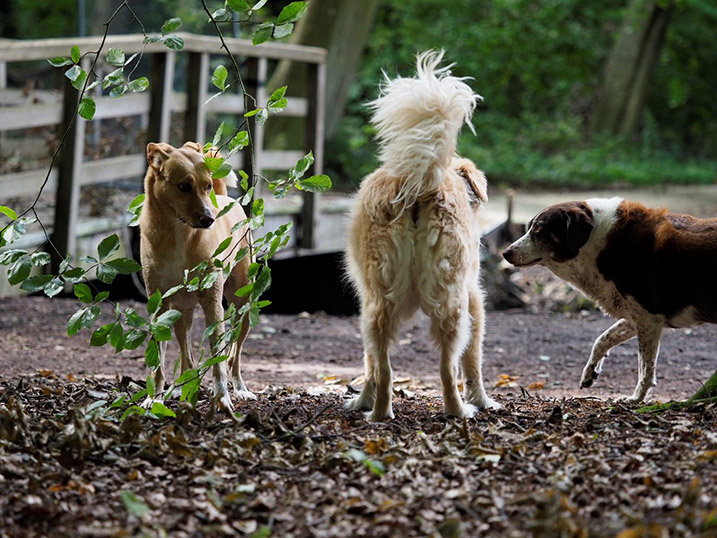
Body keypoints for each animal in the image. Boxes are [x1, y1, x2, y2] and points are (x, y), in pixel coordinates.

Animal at [139, 140, 252, 408]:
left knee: (235, 353)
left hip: (243, 304)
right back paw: (183, 388)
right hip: (182, 311)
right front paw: (153, 398)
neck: (179, 233)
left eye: (206, 185)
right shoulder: (158, 303)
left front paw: (222, 398)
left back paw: (239, 387)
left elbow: (218, 359)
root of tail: (224, 197)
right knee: (186, 352)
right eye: (184, 186)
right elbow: (159, 360)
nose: (209, 219)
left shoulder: (212, 302)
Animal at [346, 51, 498, 418]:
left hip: (379, 304)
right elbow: (473, 362)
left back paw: (379, 412)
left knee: (384, 365)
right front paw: (482, 399)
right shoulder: (476, 300)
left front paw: (361, 399)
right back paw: (459, 410)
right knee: (447, 367)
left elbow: (369, 362)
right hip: (454, 303)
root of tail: (421, 184)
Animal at [500, 196, 716, 398]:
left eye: (538, 230)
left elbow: (645, 369)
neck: (597, 241)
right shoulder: (637, 317)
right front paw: (590, 373)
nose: (505, 253)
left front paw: (636, 400)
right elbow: (602, 339)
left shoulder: (649, 319)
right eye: (530, 227)